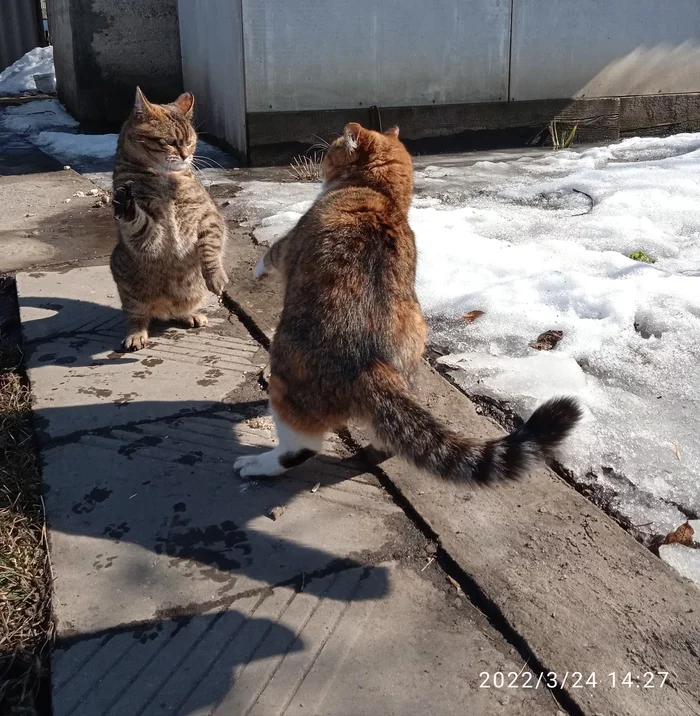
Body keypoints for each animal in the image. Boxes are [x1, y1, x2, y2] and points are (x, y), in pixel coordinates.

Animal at [110, 88, 227, 352]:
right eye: (171, 142)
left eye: (190, 141)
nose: (186, 155)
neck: (166, 179)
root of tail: (163, 309)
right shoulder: (151, 232)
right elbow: (138, 221)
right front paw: (128, 205)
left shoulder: (208, 216)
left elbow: (210, 248)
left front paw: (216, 276)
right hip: (125, 279)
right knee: (137, 316)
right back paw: (136, 334)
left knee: (178, 310)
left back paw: (190, 315)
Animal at [235, 121, 580, 482]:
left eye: (330, 150)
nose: (320, 163)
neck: (382, 195)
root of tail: (370, 363)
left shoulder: (291, 241)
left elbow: (272, 252)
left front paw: (258, 269)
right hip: (414, 334)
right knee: (388, 438)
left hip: (287, 373)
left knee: (301, 446)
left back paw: (259, 464)